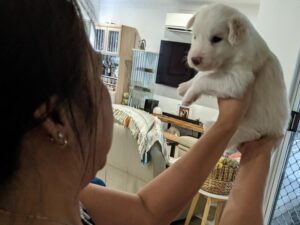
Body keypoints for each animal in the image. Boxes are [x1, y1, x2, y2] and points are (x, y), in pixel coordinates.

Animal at [177, 3, 290, 149]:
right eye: (195, 36)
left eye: (216, 39)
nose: (194, 60)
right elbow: (201, 75)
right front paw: (184, 87)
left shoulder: (238, 79)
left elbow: (203, 79)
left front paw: (188, 97)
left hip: (252, 129)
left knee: (248, 136)